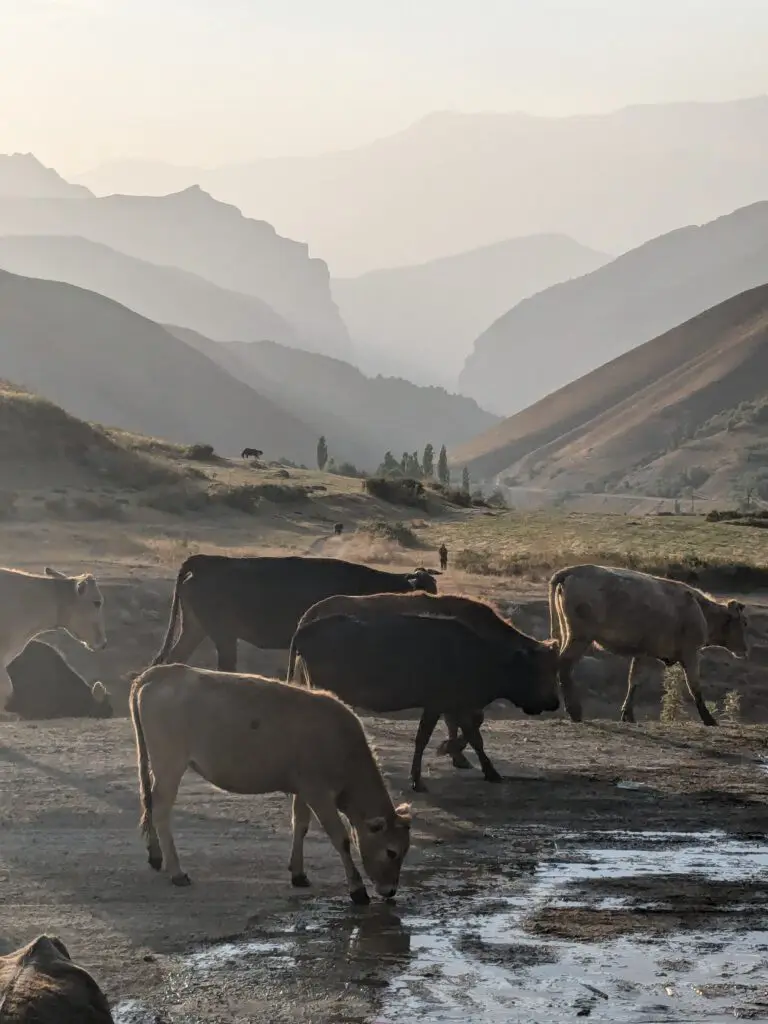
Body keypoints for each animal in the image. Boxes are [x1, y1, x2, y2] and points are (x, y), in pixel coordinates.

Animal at [129, 667, 415, 909]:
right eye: (391, 852)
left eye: (405, 850)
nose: (390, 891)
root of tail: (161, 672)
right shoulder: (318, 792)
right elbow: (340, 838)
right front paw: (357, 890)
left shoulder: (303, 788)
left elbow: (300, 825)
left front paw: (298, 874)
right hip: (170, 763)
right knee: (160, 808)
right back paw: (177, 872)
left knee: (150, 802)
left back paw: (156, 857)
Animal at [153, 552, 442, 671]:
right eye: (424, 590)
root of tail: (205, 561)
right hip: (222, 633)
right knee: (225, 665)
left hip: (196, 627)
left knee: (175, 657)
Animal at [288, 606, 561, 790]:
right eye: (540, 672)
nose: (555, 702)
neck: (476, 656)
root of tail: (304, 630)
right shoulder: (438, 705)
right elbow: (426, 739)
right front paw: (419, 778)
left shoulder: (456, 706)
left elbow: (473, 737)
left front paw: (483, 768)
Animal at [548, 565, 753, 724]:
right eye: (744, 622)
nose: (745, 649)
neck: (700, 609)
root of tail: (574, 569)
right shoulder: (690, 653)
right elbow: (694, 686)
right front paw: (709, 719)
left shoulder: (643, 653)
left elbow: (634, 681)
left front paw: (628, 715)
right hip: (580, 637)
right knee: (565, 665)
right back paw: (575, 712)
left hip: (569, 634)